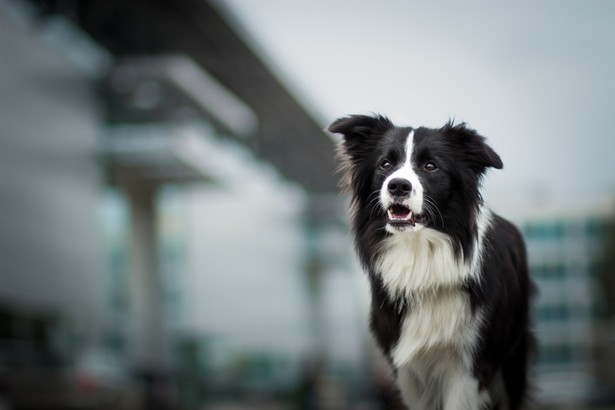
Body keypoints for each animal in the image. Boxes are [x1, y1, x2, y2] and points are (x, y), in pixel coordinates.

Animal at [330, 115, 536, 410]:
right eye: (385, 164)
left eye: (430, 166)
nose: (398, 185)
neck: (419, 254)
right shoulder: (408, 371)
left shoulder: (469, 368)